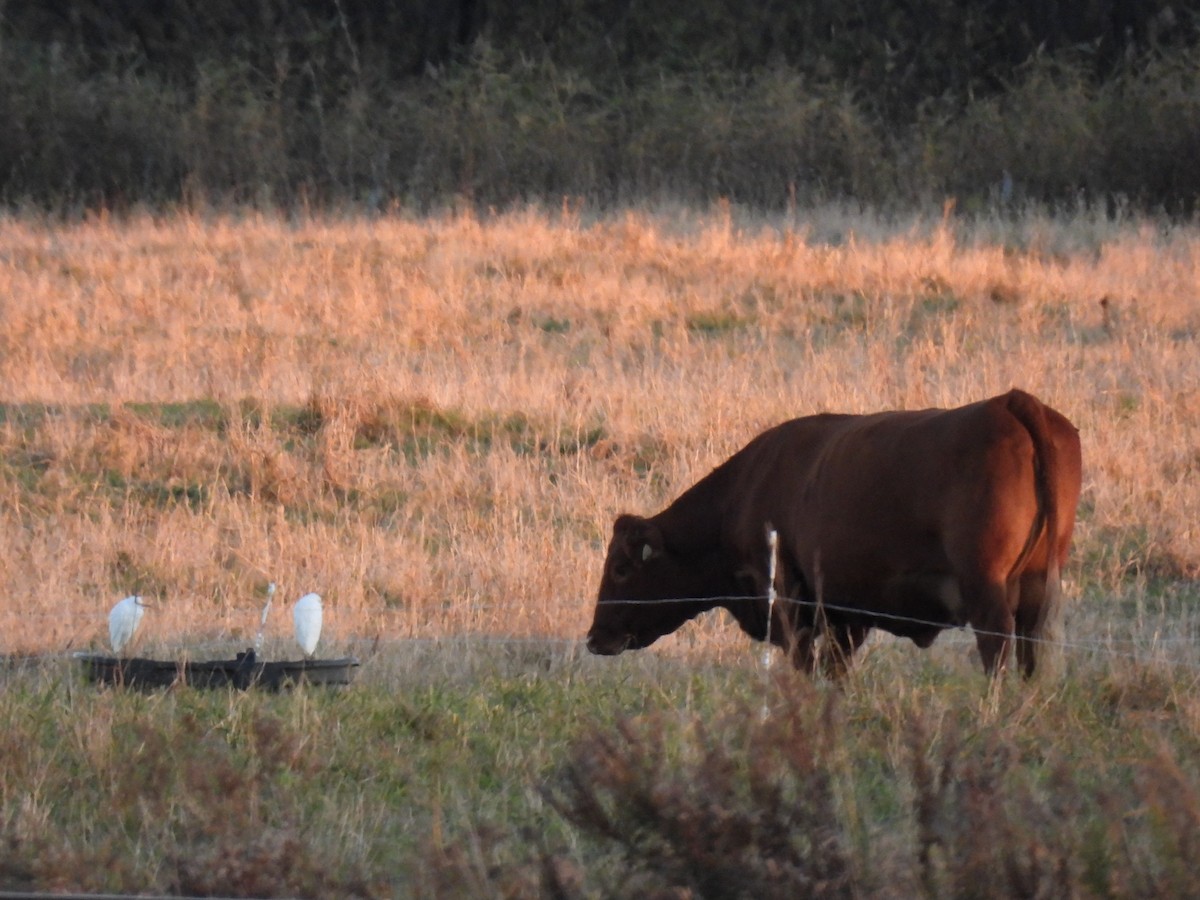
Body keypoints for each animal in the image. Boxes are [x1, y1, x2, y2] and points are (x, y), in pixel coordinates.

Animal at [586, 389, 1082, 678]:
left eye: (622, 568)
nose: (595, 639)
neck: (749, 487)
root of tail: (1010, 402)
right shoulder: (847, 611)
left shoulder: (790, 599)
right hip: (1038, 585)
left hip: (985, 588)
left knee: (996, 646)